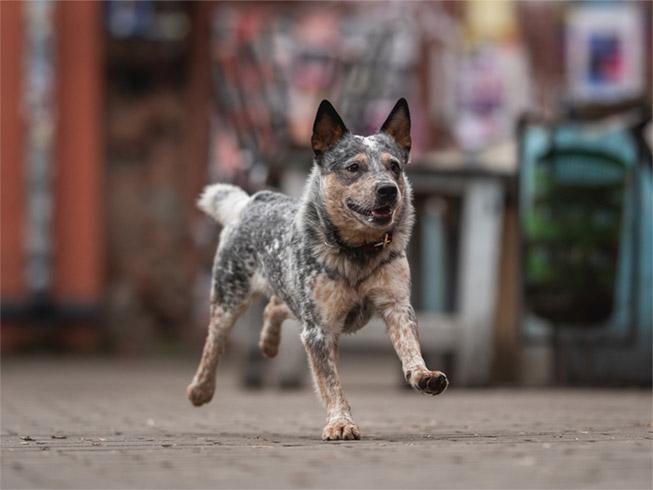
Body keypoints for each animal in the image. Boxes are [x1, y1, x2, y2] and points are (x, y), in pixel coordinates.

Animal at [186, 96, 446, 440]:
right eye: (353, 167)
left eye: (394, 166)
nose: (388, 189)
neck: (357, 252)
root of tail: (252, 201)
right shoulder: (319, 329)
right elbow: (330, 382)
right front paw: (340, 422)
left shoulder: (396, 305)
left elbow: (409, 345)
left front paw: (422, 374)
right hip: (229, 296)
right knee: (214, 341)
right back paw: (201, 388)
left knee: (275, 306)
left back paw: (268, 344)